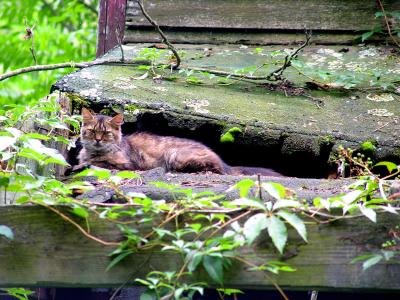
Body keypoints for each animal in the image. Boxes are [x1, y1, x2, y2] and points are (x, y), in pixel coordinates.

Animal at [75, 108, 282, 177]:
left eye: (106, 133)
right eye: (92, 132)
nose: (98, 140)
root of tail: (226, 163)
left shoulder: (128, 164)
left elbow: (102, 162)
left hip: (174, 154)